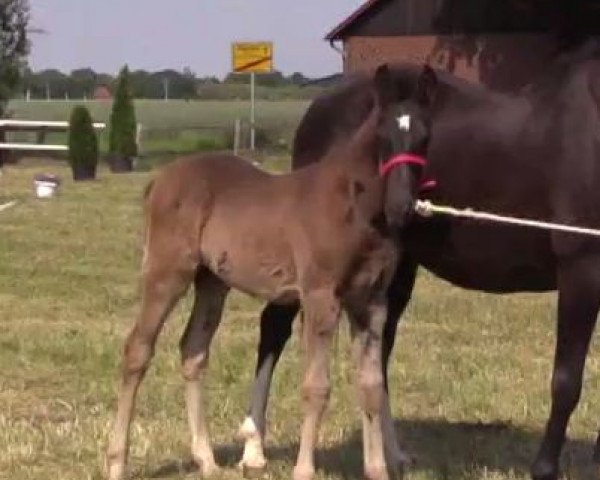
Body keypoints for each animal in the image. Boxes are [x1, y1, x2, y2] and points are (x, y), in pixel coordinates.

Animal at [105, 65, 436, 480]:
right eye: (382, 135)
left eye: (424, 137)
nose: (402, 207)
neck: (353, 203)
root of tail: (159, 181)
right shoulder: (320, 296)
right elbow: (316, 387)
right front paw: (304, 470)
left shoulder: (371, 301)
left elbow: (372, 385)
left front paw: (377, 469)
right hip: (167, 274)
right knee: (138, 349)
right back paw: (117, 462)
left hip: (212, 282)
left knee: (193, 350)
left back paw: (207, 460)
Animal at [241, 41, 600, 480]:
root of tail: (320, 106)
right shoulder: (581, 269)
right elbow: (567, 380)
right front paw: (545, 467)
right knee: (274, 327)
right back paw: (254, 447)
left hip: (396, 268)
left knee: (379, 354)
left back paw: (392, 455)